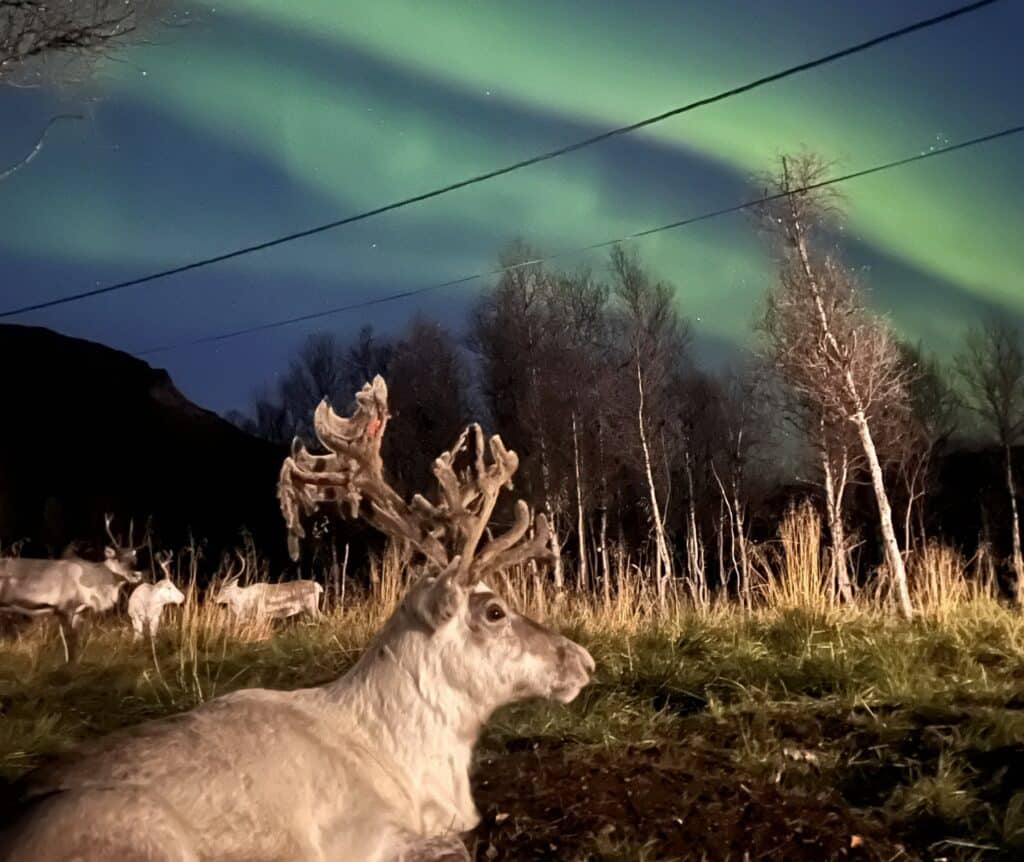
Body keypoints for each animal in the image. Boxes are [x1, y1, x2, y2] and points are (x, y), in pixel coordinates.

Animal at [0, 514, 142, 661]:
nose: (136, 575)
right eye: (118, 559)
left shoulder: (77, 611)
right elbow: (69, 642)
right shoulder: (65, 607)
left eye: (134, 560)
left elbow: (75, 641)